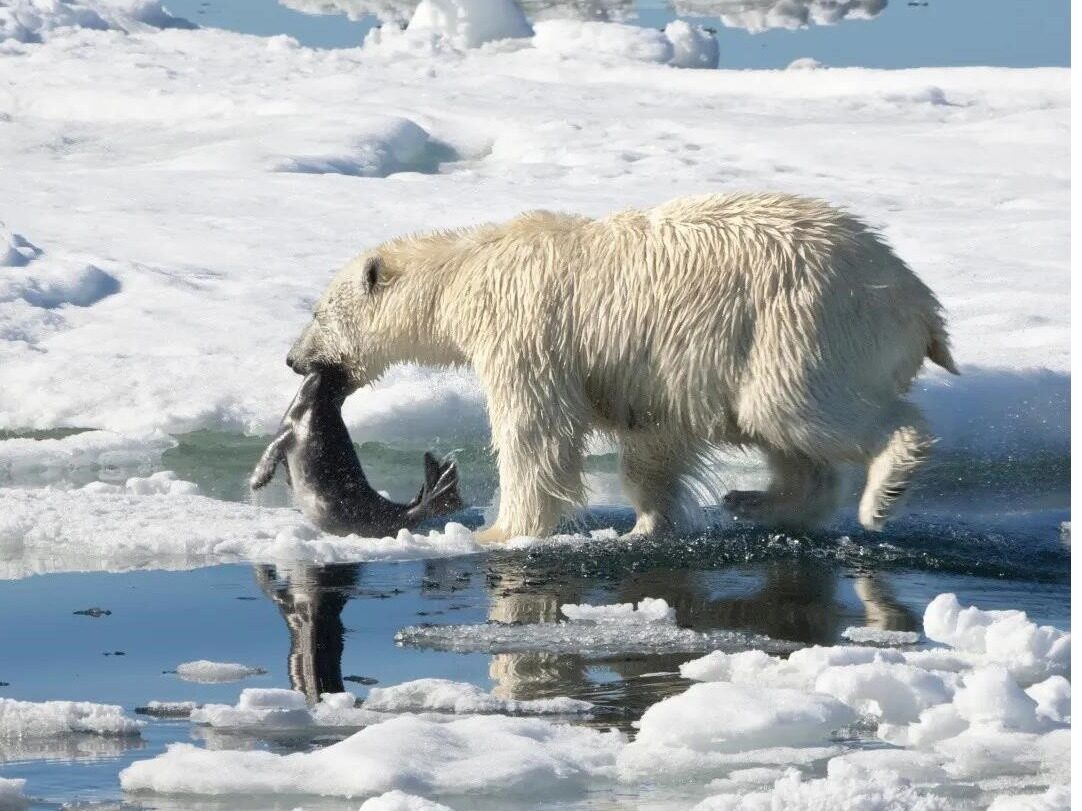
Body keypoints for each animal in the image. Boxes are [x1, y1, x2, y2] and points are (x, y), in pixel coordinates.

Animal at [287, 193, 956, 542]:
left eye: (317, 311)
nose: (294, 359)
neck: (468, 272)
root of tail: (919, 303)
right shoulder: (651, 371)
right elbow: (653, 440)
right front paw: (647, 525)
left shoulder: (526, 331)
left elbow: (536, 432)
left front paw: (499, 532)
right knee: (783, 434)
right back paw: (756, 502)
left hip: (803, 325)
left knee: (802, 408)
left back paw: (882, 492)